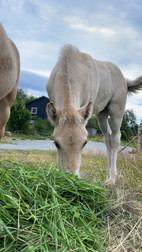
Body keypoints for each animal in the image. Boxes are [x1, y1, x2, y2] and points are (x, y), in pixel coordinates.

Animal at [46, 44, 142, 183]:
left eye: (85, 143)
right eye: (56, 143)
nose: (71, 178)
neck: (69, 65)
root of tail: (125, 80)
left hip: (116, 110)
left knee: (115, 138)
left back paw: (111, 179)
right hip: (101, 114)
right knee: (107, 139)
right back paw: (107, 176)